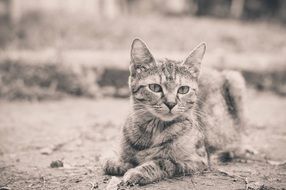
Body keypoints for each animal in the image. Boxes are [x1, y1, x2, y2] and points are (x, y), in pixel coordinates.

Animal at [103, 38, 246, 186]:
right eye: (155, 87)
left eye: (183, 89)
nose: (171, 103)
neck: (154, 129)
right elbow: (109, 161)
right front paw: (122, 162)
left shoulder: (197, 159)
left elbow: (164, 162)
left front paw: (138, 171)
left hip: (235, 80)